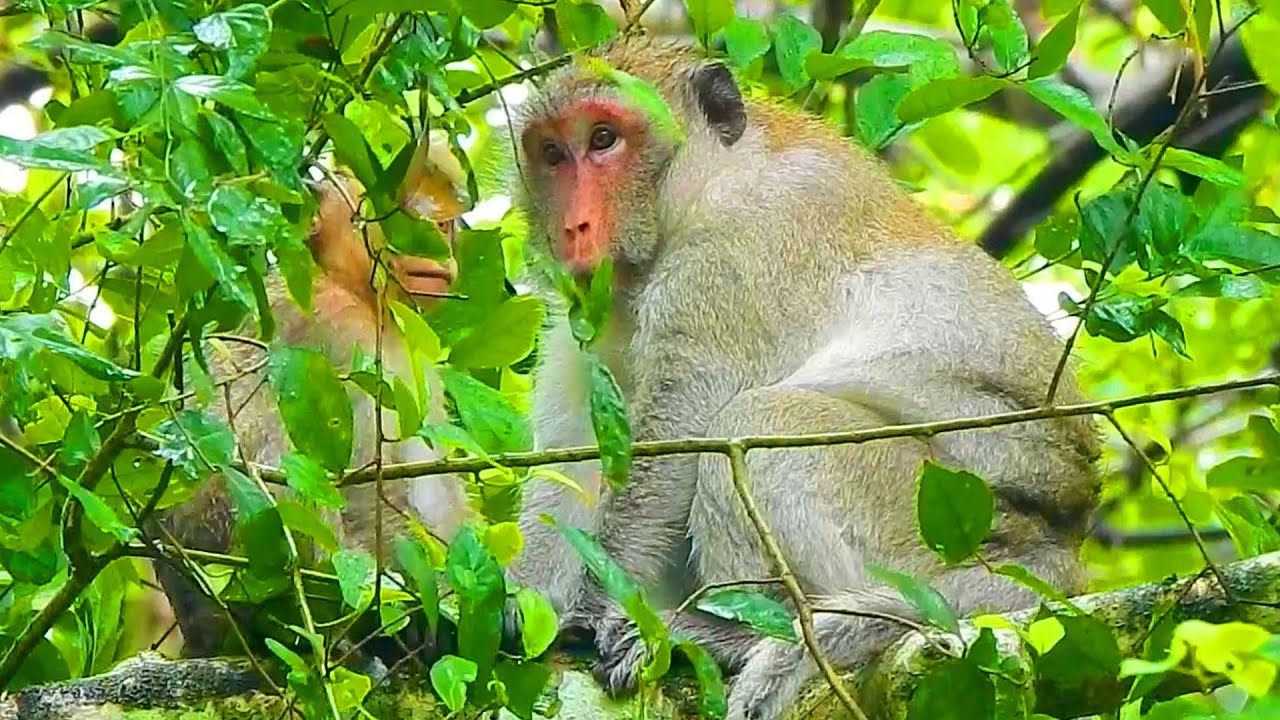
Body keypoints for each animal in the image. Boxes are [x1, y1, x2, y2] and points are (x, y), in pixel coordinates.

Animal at [506, 36, 1100, 720]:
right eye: (552, 153)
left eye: (604, 138)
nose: (571, 229)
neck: (708, 184)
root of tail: (1058, 553)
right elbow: (573, 458)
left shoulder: (735, 259)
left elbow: (682, 432)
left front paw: (595, 608)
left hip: (931, 524)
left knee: (759, 423)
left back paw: (738, 632)